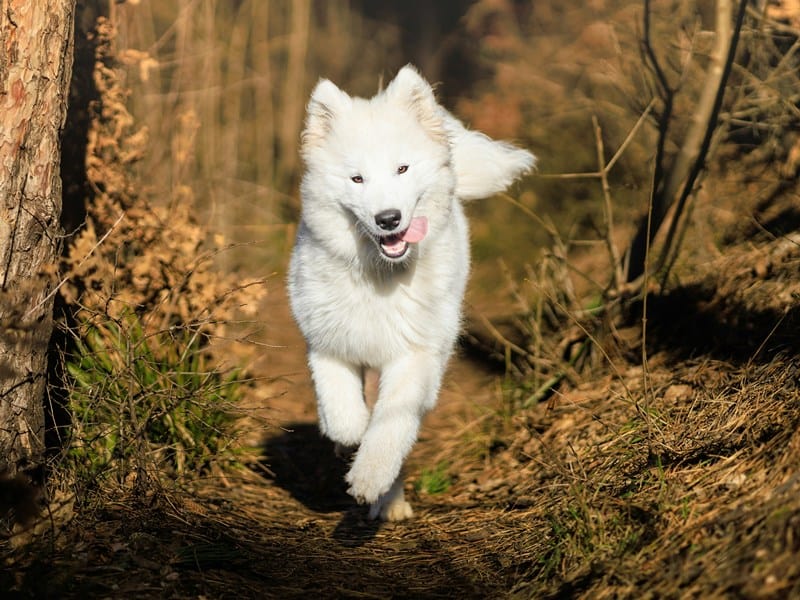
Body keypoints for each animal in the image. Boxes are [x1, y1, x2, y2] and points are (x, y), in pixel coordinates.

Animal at [290, 65, 536, 520]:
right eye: (357, 178)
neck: (380, 275)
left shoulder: (414, 357)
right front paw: (347, 438)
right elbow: (342, 414)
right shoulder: (328, 344)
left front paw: (369, 480)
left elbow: (390, 426)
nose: (388, 219)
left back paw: (391, 501)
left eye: (402, 169)